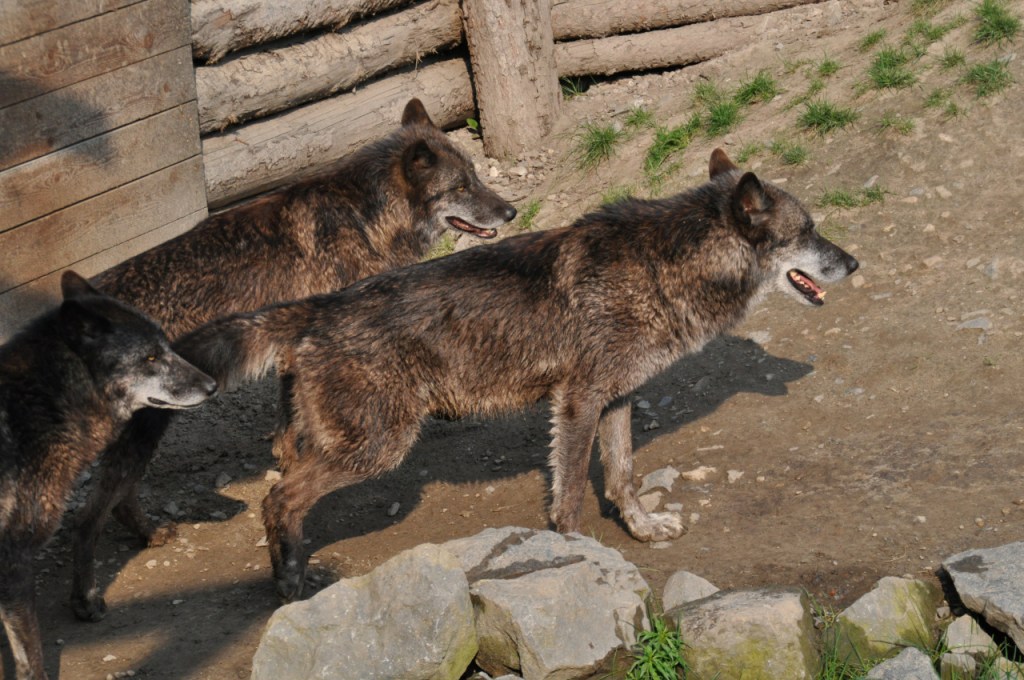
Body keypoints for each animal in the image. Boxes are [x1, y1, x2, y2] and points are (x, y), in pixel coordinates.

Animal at [68, 98, 517, 622]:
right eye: (461, 187)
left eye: (475, 176)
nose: (510, 210)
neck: (367, 216)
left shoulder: (293, 347)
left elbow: (290, 422)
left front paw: (288, 461)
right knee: (88, 515)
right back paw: (84, 597)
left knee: (117, 498)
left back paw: (148, 534)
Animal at [177, 148, 859, 602]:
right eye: (808, 231)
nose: (853, 263)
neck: (664, 263)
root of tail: (316, 307)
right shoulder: (578, 401)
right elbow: (574, 494)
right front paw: (581, 556)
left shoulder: (617, 400)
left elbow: (623, 476)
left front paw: (642, 529)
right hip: (379, 449)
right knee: (276, 500)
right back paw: (292, 585)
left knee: (283, 495)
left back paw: (287, 574)